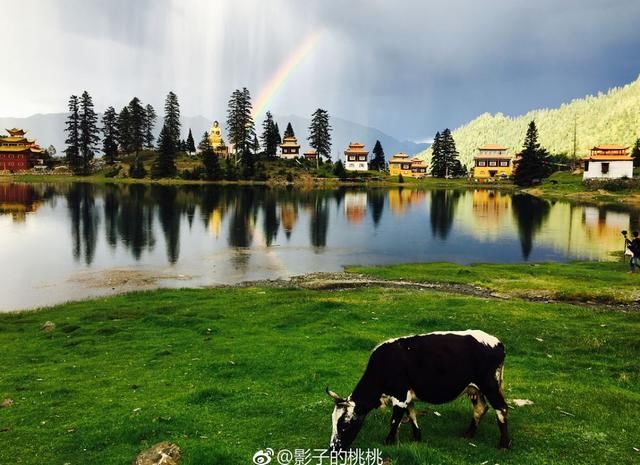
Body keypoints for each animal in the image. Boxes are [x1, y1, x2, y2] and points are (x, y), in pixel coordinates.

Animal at [324, 328, 510, 452]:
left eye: (345, 424)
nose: (333, 450)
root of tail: (497, 342)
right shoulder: (407, 396)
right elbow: (412, 414)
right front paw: (417, 438)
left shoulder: (400, 396)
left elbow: (395, 420)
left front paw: (388, 442)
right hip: (474, 388)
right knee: (480, 408)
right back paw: (468, 434)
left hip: (490, 386)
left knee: (501, 408)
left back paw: (503, 444)